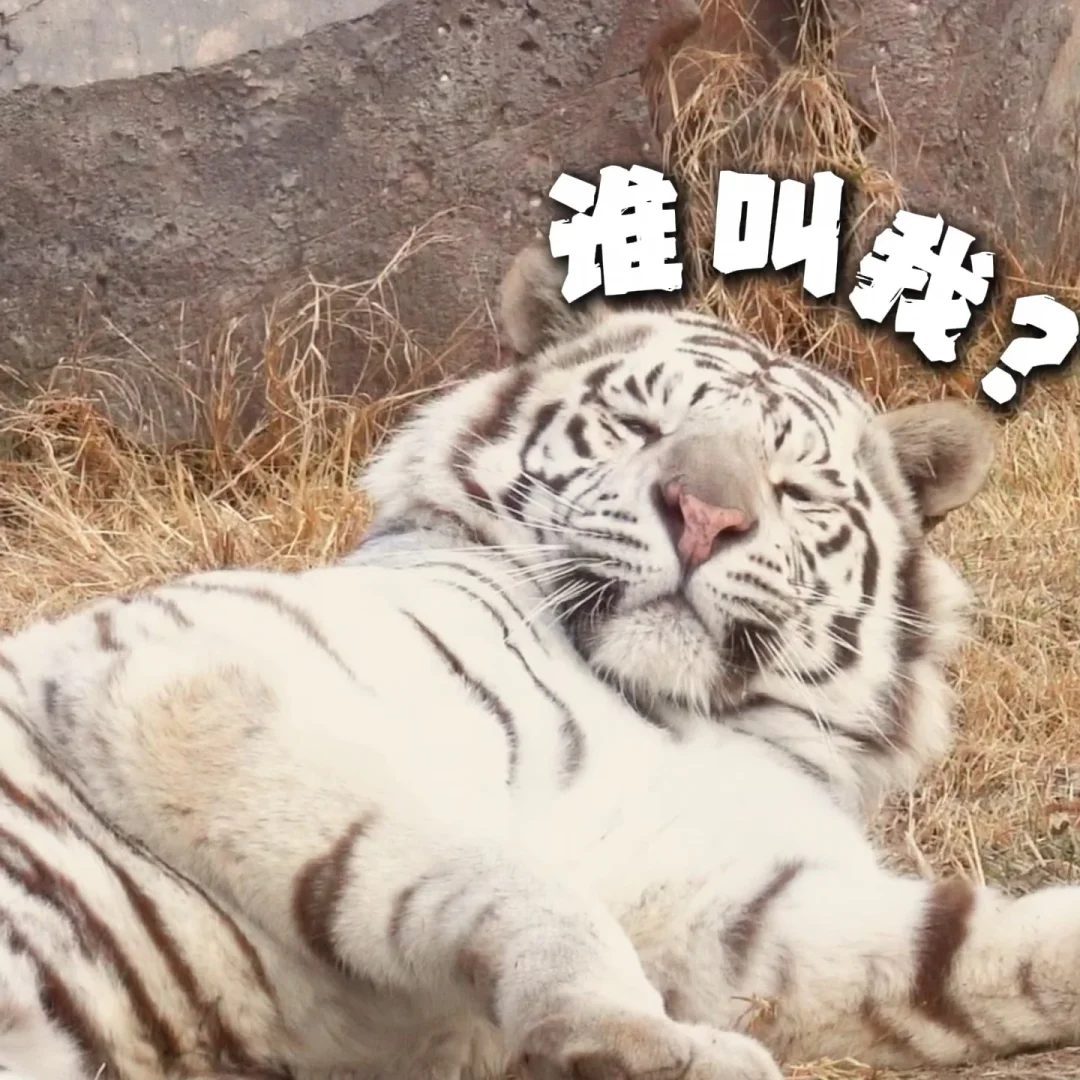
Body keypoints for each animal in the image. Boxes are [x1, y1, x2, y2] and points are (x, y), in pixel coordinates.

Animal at [0, 239, 1077, 1080]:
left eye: (794, 488)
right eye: (643, 427)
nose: (704, 513)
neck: (671, 706)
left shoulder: (739, 910)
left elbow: (960, 954)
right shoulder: (192, 669)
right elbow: (500, 873)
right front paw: (634, 1042)